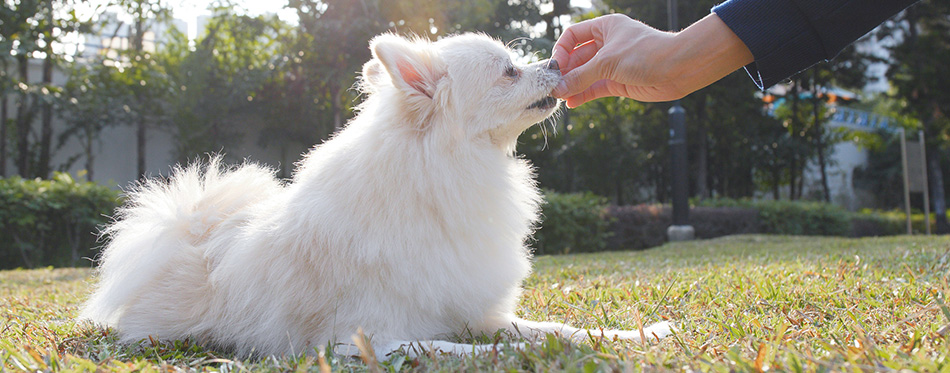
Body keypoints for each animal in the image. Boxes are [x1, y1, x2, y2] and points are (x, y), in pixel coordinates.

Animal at [83, 32, 676, 358]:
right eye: (509, 71)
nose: (555, 62)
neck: (441, 175)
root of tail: (189, 231)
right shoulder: (368, 338)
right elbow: (456, 348)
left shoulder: (471, 305)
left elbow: (553, 328)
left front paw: (633, 333)